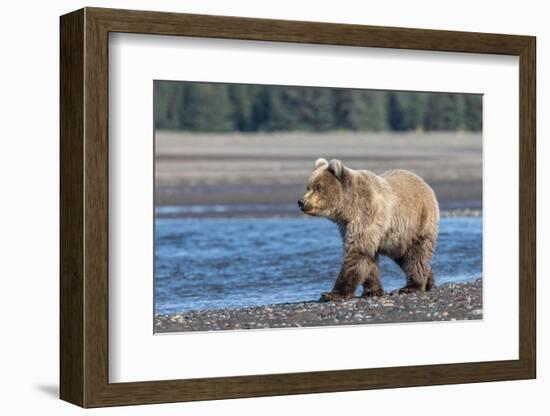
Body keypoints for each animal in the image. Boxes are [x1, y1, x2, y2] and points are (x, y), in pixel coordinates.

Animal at [300, 158, 442, 300]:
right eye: (308, 186)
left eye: (318, 187)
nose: (301, 202)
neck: (348, 209)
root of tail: (424, 183)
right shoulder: (346, 226)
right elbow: (368, 259)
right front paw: (372, 291)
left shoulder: (367, 215)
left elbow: (358, 253)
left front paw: (332, 294)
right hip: (397, 238)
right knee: (404, 257)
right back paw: (429, 281)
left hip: (418, 223)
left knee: (417, 254)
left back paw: (412, 286)